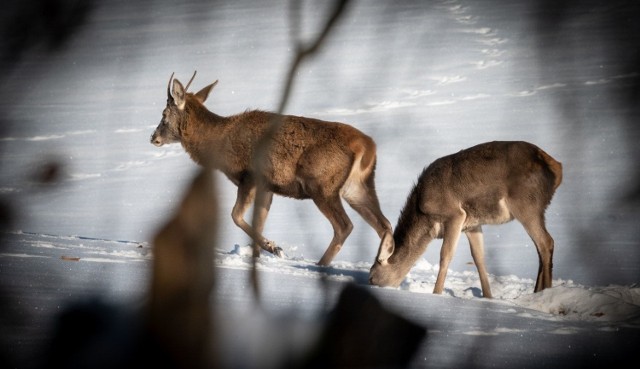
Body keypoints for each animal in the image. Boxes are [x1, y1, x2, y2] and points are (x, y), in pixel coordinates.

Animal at [151, 71, 392, 264]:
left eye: (164, 115)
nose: (153, 137)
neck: (220, 146)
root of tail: (367, 146)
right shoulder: (267, 186)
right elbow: (258, 222)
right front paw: (259, 257)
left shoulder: (250, 176)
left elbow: (235, 216)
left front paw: (274, 247)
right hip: (358, 186)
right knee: (384, 224)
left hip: (322, 185)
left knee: (345, 226)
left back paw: (321, 266)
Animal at [368, 141, 564, 296]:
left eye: (371, 277)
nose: (370, 285)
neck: (426, 219)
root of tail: (557, 168)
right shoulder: (472, 225)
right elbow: (479, 258)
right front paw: (488, 297)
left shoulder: (455, 214)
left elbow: (445, 255)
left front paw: (436, 294)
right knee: (541, 246)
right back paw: (538, 291)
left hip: (527, 204)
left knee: (546, 242)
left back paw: (543, 293)